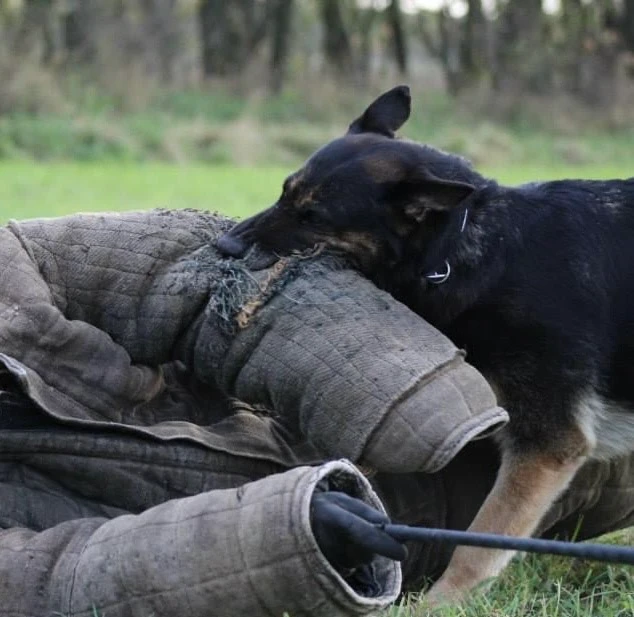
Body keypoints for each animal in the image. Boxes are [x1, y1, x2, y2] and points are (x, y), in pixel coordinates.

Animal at [215, 86, 632, 600]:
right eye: (283, 192)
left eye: (313, 216)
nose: (224, 247)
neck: (459, 249)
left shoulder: (547, 444)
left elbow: (480, 539)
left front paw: (441, 602)